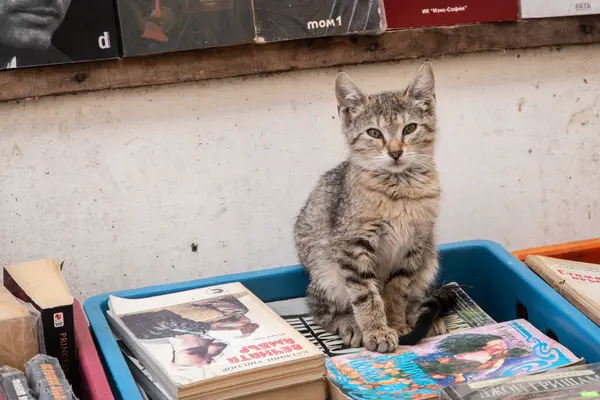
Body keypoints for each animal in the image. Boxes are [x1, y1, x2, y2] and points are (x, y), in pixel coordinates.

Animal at [292, 62, 442, 354]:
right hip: (325, 271)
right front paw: (376, 330)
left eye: (410, 128)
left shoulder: (415, 245)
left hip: (429, 258)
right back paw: (350, 324)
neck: (399, 189)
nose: (395, 152)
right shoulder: (352, 247)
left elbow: (398, 289)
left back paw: (421, 316)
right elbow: (365, 294)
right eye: (374, 133)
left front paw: (396, 323)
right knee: (320, 308)